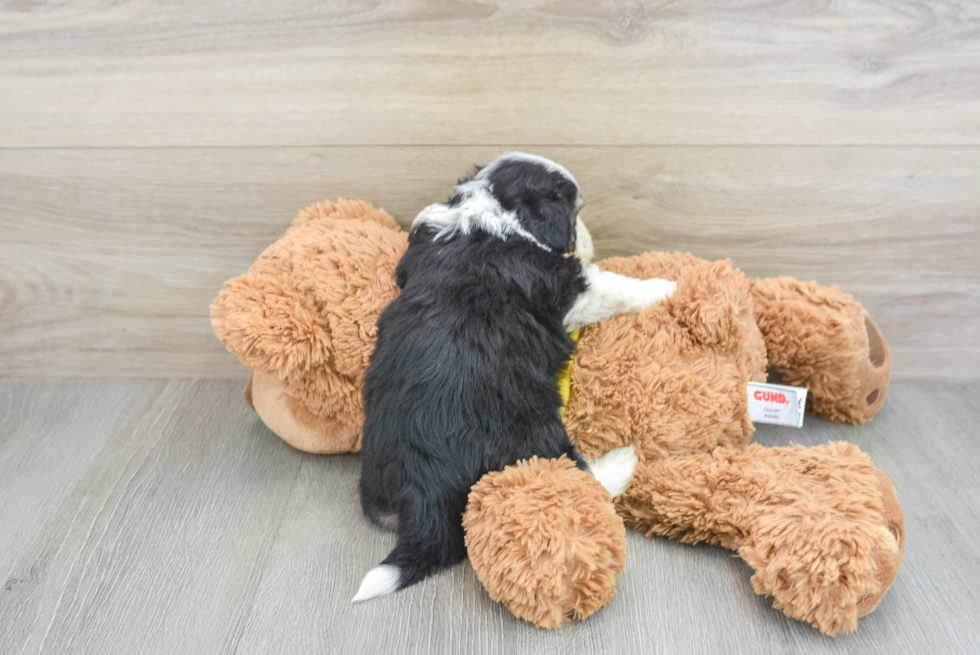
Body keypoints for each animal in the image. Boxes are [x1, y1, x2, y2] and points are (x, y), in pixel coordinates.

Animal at [350, 151, 672, 604]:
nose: (588, 238)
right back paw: (622, 460)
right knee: (576, 474)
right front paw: (666, 286)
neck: (492, 209)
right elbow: (617, 286)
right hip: (530, 432)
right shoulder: (572, 286)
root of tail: (425, 487)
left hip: (377, 481)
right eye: (575, 213)